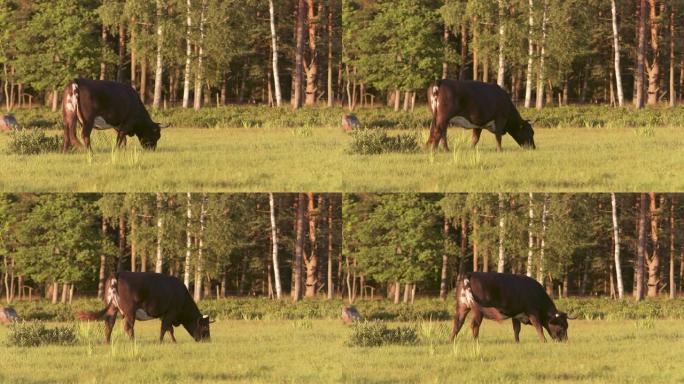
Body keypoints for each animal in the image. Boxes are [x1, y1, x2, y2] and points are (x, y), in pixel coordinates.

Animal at [77, 272, 211, 344]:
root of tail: (118, 272)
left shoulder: (165, 315)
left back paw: (107, 342)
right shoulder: (171, 312)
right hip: (130, 310)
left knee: (109, 324)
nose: (208, 340)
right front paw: (162, 342)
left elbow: (169, 328)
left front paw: (173, 341)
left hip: (113, 308)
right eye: (205, 327)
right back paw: (133, 342)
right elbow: (166, 328)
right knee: (128, 327)